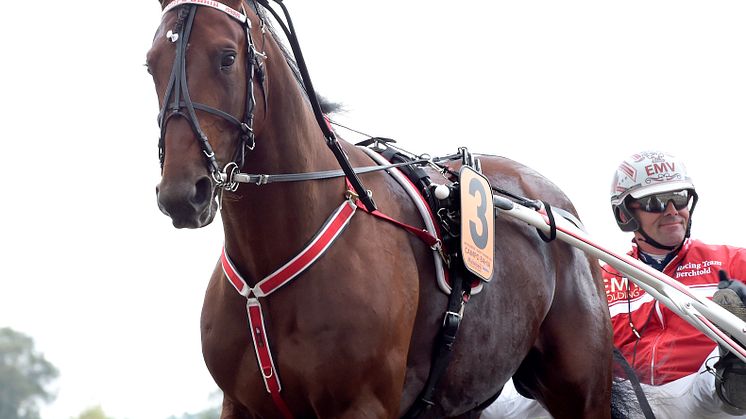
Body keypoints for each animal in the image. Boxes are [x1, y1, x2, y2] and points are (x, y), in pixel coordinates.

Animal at [144, 1, 612, 418]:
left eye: (226, 57)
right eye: (151, 64)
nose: (182, 193)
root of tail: (556, 206)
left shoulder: (362, 403)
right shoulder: (240, 405)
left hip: (583, 392)